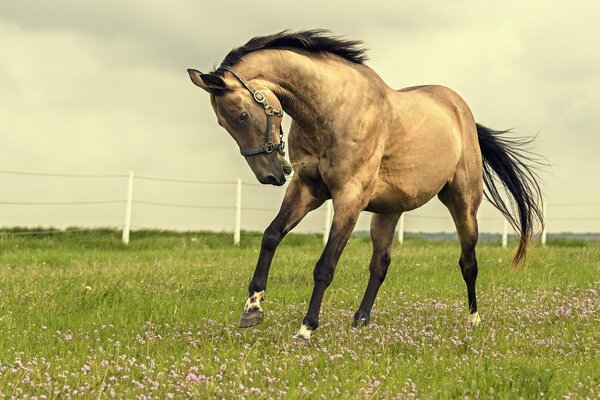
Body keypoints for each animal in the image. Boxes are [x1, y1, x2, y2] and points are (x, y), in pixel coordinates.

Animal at [188, 29, 544, 340]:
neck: (333, 110)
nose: (271, 175)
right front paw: (252, 308)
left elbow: (325, 265)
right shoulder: (306, 189)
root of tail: (462, 113)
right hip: (387, 212)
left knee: (468, 262)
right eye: (223, 122)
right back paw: (360, 320)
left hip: (462, 204)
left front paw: (305, 329)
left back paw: (473, 320)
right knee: (380, 264)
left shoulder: (349, 198)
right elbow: (271, 236)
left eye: (242, 115)